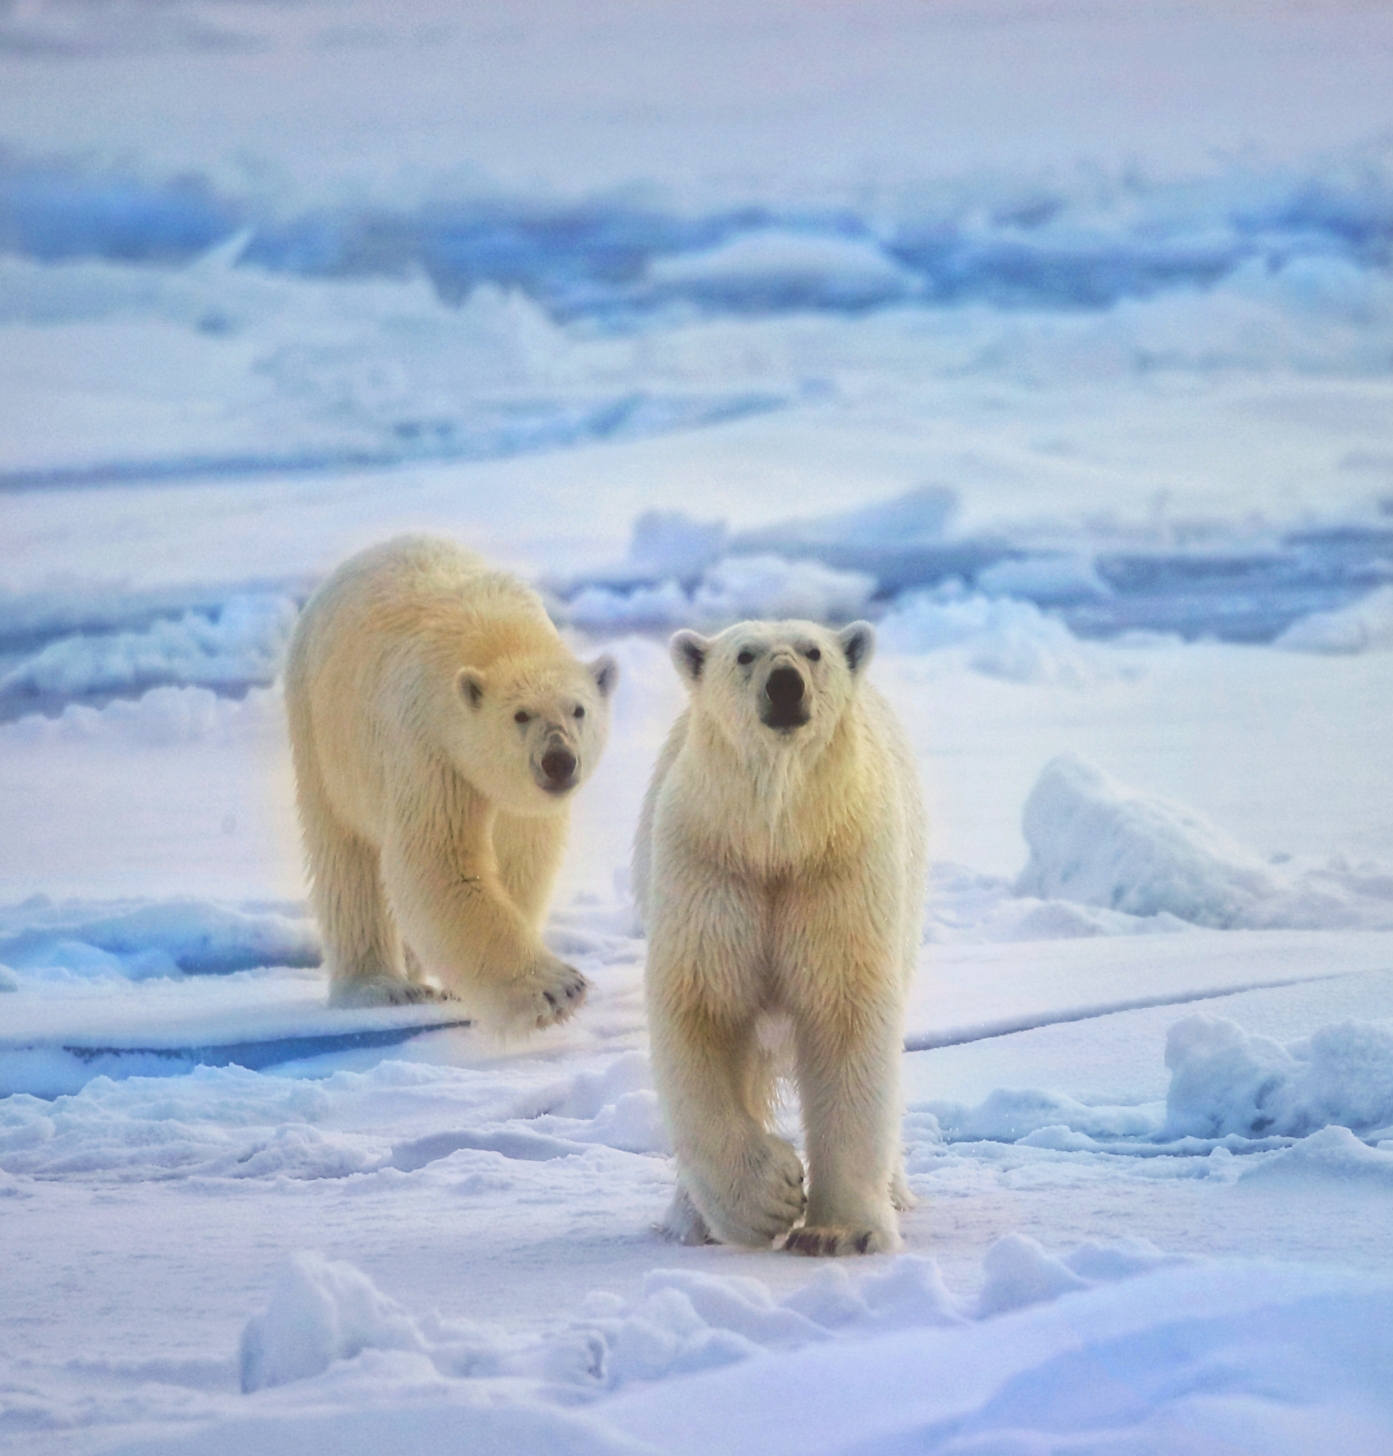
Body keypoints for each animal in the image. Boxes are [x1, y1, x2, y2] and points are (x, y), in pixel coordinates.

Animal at [285, 538, 617, 1036]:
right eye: (520, 715)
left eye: (577, 709)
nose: (558, 761)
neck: (500, 636)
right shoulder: (430, 748)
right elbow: (439, 860)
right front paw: (558, 989)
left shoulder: (521, 800)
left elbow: (520, 859)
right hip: (321, 732)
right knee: (346, 860)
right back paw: (382, 986)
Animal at [637, 614, 925, 1252]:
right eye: (745, 655)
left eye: (814, 652)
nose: (786, 684)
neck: (777, 840)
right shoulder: (713, 871)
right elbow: (704, 1012)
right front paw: (770, 1198)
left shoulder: (836, 872)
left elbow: (846, 1016)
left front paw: (840, 1232)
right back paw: (689, 1218)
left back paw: (896, 1192)